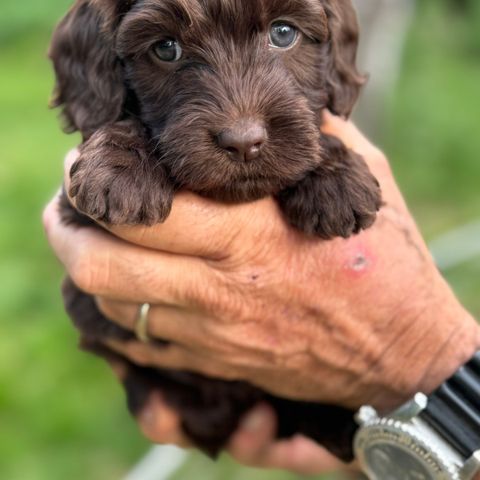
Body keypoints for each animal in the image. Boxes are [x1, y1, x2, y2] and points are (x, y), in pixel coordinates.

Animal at [50, 0, 380, 462]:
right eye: (165, 48)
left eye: (283, 34)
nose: (244, 142)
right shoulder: (78, 220)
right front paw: (121, 167)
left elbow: (318, 132)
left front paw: (336, 178)